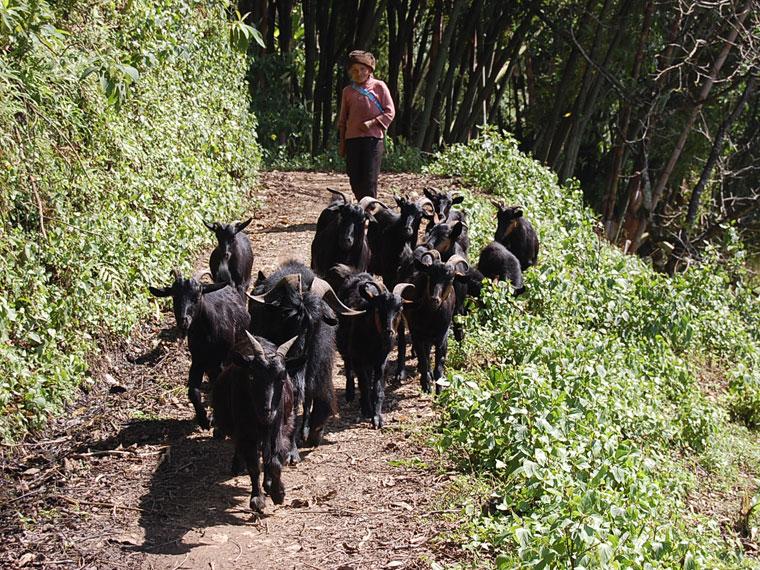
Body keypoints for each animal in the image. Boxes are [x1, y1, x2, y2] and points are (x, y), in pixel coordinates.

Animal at [149, 270, 252, 426]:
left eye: (196, 297)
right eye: (174, 296)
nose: (183, 321)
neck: (207, 334)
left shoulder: (221, 360)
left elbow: (218, 385)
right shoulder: (198, 360)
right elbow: (192, 391)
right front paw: (203, 419)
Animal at [212, 330, 302, 512]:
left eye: (282, 378)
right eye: (252, 376)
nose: (267, 411)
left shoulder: (281, 428)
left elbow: (275, 461)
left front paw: (278, 493)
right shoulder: (245, 431)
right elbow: (253, 466)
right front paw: (257, 499)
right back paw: (237, 465)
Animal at [332, 266, 412, 426]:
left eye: (399, 309)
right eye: (378, 308)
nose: (389, 332)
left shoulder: (381, 359)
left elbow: (377, 388)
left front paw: (377, 417)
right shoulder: (357, 357)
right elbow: (363, 384)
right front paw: (367, 410)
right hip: (344, 345)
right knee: (348, 366)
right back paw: (350, 394)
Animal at [404, 247, 470, 390]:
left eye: (451, 278)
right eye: (430, 275)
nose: (435, 299)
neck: (431, 318)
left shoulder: (442, 336)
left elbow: (439, 366)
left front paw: (439, 389)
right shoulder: (417, 334)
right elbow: (423, 360)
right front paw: (426, 385)